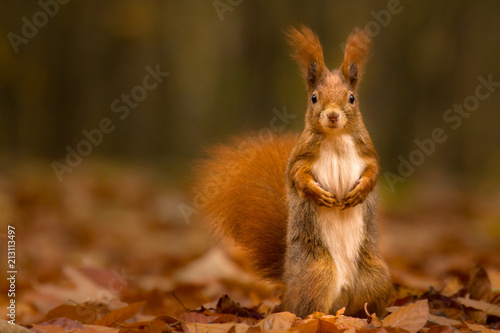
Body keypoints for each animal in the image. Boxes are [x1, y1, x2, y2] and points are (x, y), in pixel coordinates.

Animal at [197, 26, 392, 316]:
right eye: (314, 98)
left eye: (352, 98)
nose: (332, 115)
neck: (335, 138)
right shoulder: (301, 156)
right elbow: (296, 176)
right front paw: (316, 193)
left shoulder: (367, 152)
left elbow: (374, 171)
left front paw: (361, 191)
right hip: (317, 271)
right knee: (306, 308)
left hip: (374, 276)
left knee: (365, 305)